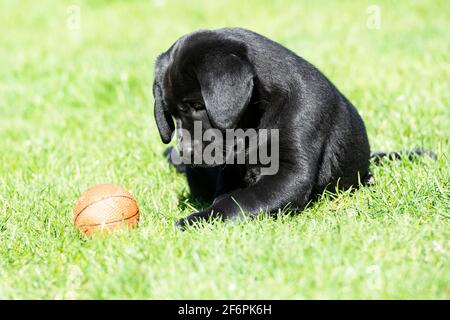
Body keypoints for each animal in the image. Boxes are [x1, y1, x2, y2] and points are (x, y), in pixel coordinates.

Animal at [154, 27, 428, 228]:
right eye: (172, 114)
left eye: (199, 105)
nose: (187, 154)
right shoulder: (232, 171)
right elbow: (230, 195)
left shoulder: (291, 172)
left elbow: (241, 200)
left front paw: (196, 220)